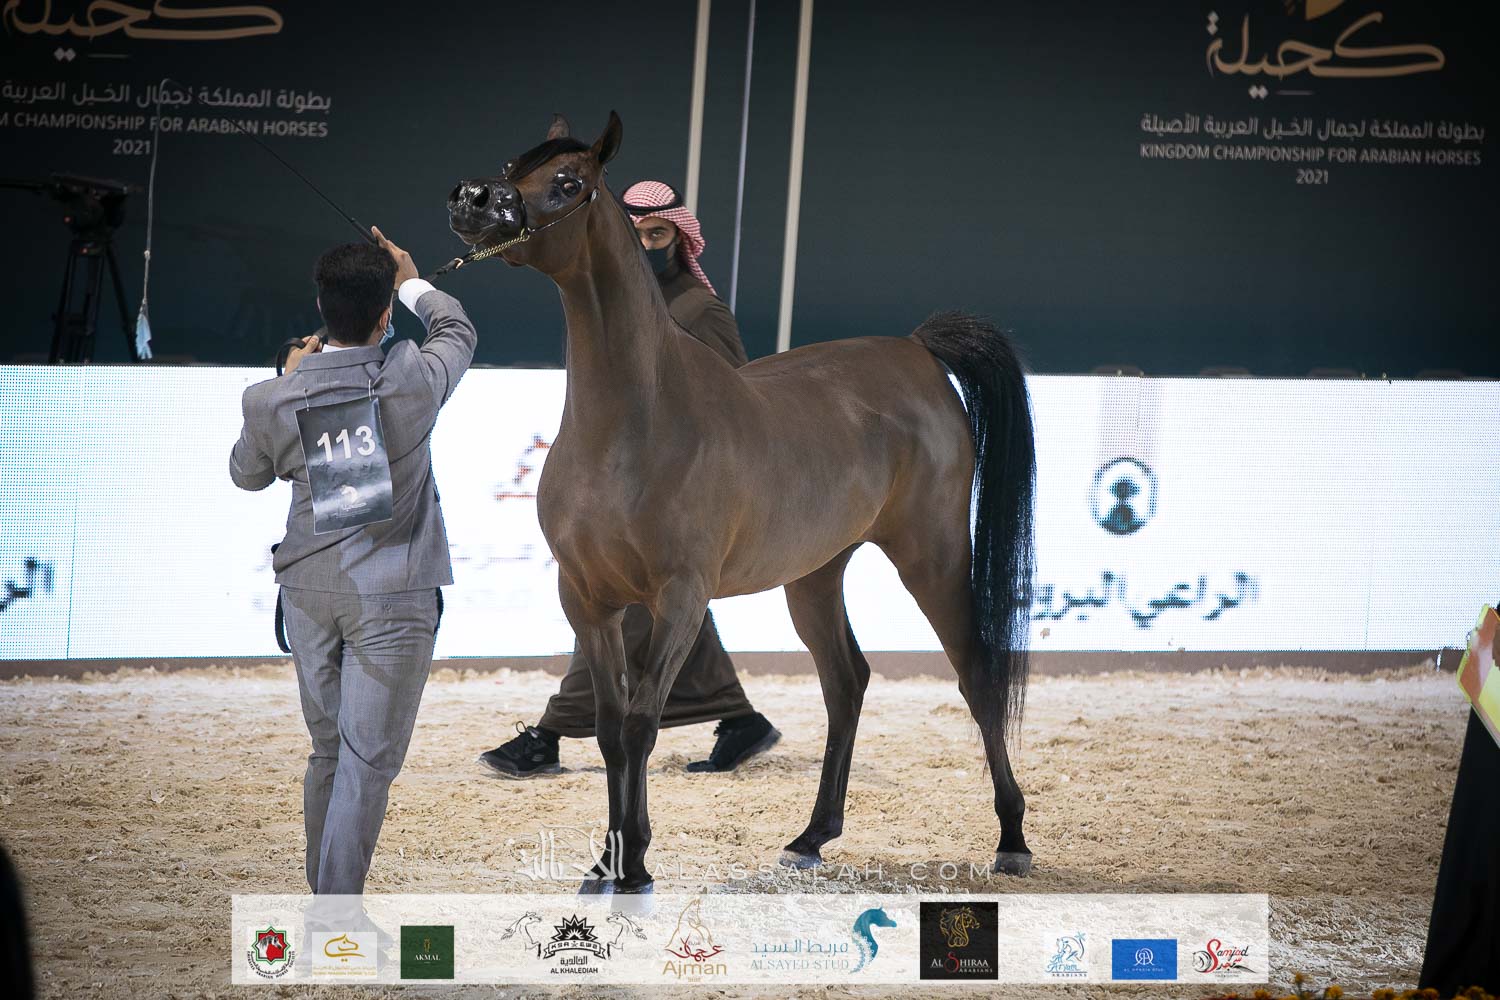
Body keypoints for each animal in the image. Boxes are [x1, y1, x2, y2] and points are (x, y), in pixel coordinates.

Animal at [446, 112, 1037, 893]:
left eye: (569, 182)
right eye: (517, 163)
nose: (473, 198)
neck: (634, 422)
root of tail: (916, 353)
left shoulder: (681, 597)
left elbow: (641, 722)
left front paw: (634, 868)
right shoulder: (588, 599)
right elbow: (608, 729)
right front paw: (608, 860)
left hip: (932, 556)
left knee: (976, 675)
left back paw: (1012, 839)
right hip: (815, 575)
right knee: (846, 681)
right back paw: (811, 837)